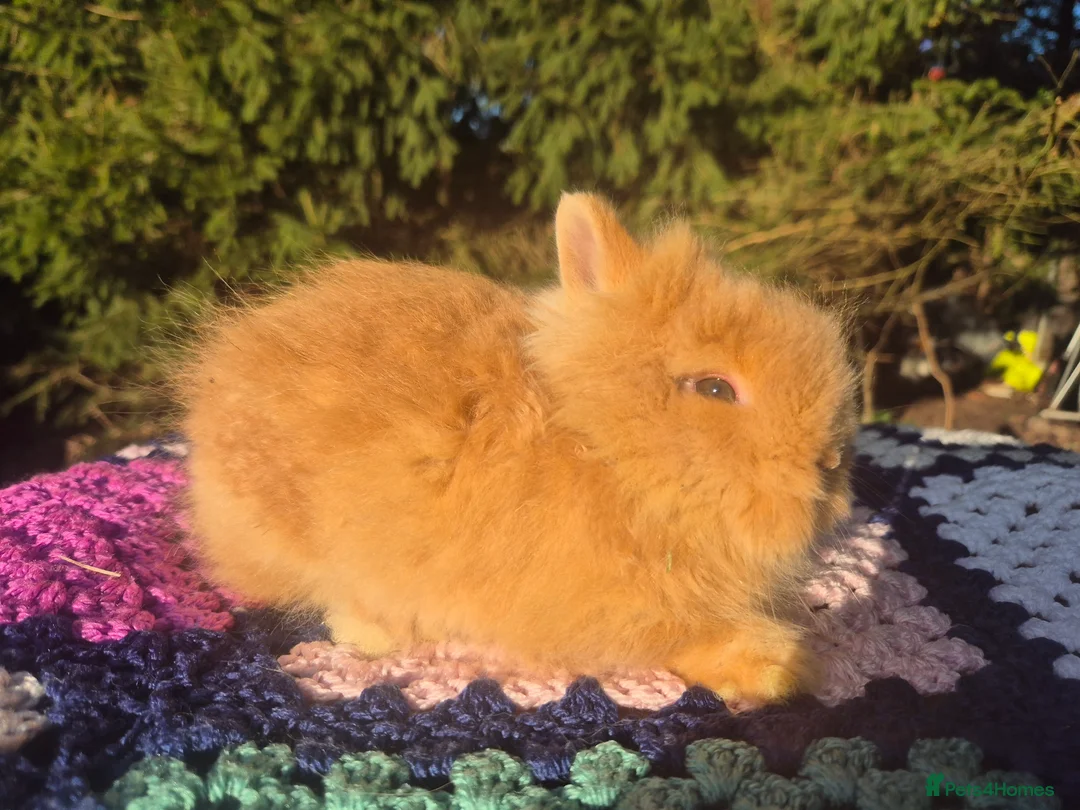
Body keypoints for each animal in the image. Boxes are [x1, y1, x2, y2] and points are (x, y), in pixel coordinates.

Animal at [178, 192, 858, 705]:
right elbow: (683, 637)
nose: (831, 465)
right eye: (715, 387)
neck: (600, 447)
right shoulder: (615, 611)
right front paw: (781, 668)